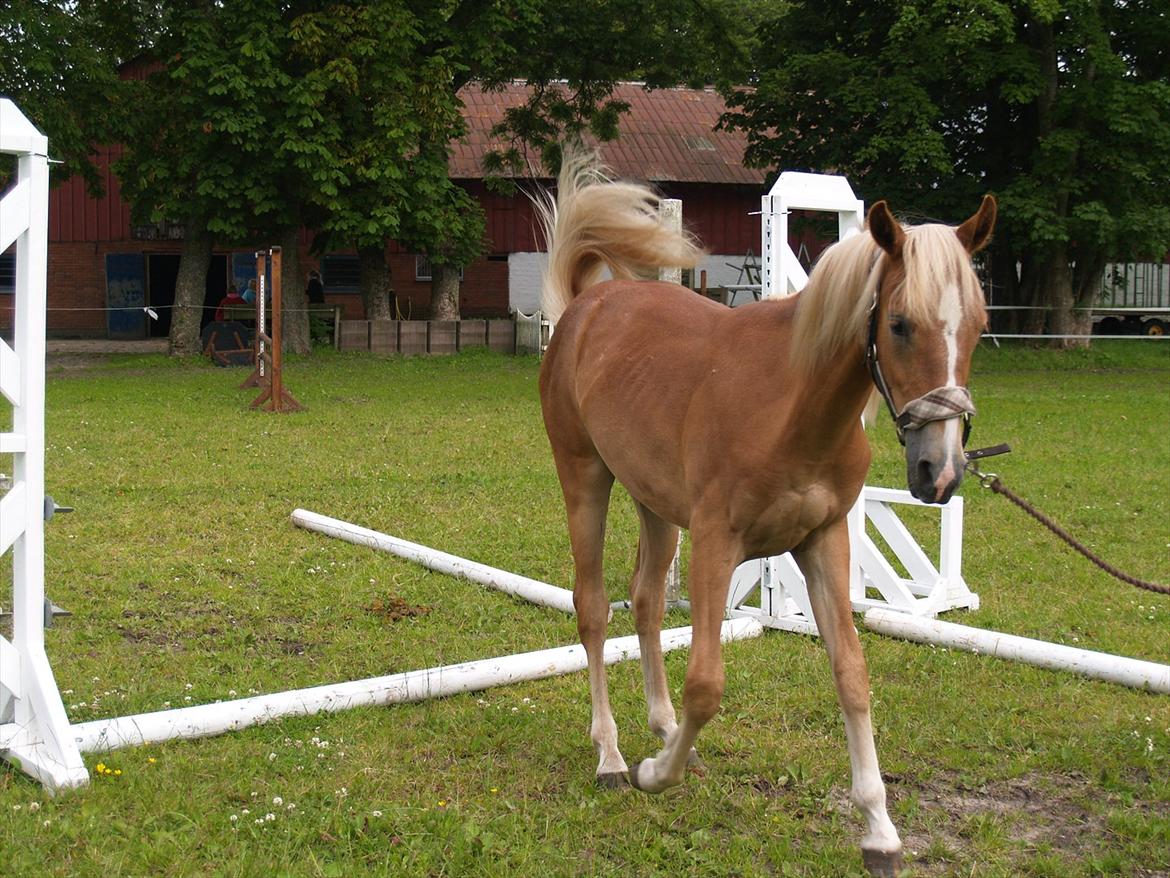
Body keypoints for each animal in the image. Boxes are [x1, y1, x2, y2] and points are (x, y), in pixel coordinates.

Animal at [535, 152, 995, 878]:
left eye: (977, 323)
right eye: (899, 324)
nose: (939, 472)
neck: (794, 406)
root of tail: (589, 304)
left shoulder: (824, 541)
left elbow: (852, 674)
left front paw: (879, 829)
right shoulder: (716, 544)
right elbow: (706, 683)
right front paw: (653, 774)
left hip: (654, 503)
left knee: (644, 601)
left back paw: (664, 730)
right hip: (584, 478)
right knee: (593, 607)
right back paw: (612, 755)